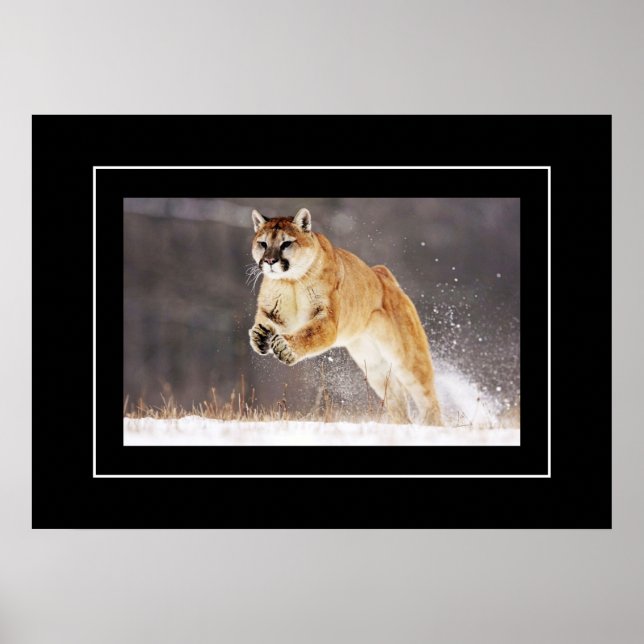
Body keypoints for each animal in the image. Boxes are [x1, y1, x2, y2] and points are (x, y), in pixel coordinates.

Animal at [248, 207, 442, 426]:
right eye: (263, 243)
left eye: (286, 243)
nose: (270, 261)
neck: (291, 282)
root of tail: (382, 273)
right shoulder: (275, 313)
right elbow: (265, 322)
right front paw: (259, 336)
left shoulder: (327, 320)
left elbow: (309, 334)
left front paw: (285, 348)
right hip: (373, 364)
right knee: (395, 396)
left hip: (407, 356)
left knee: (427, 395)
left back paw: (433, 427)